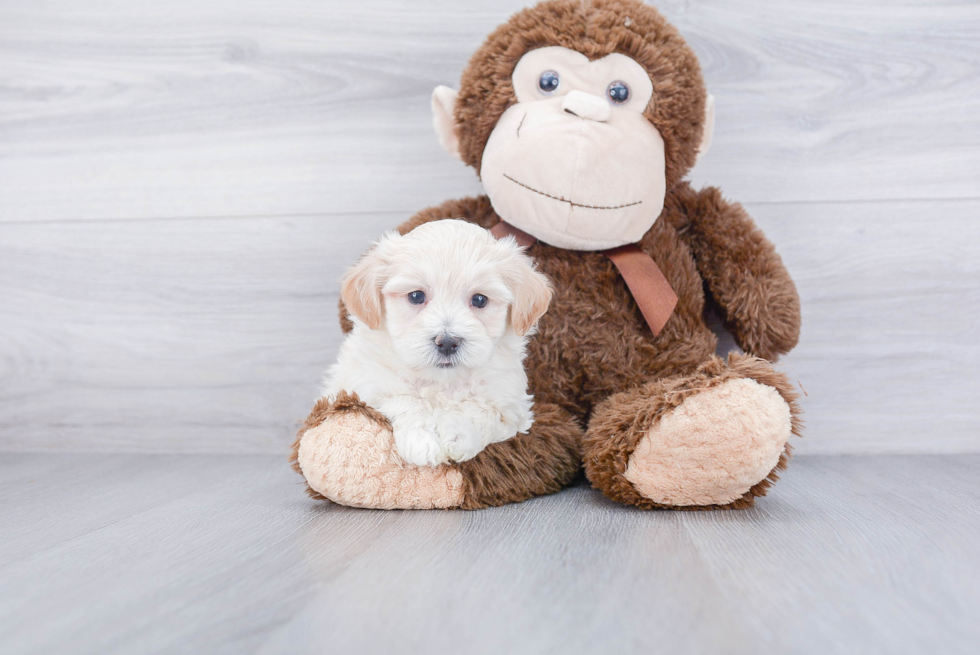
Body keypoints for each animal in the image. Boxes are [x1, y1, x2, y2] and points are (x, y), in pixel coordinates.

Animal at [322, 220, 552, 466]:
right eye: (416, 296)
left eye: (480, 299)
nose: (448, 342)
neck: (441, 382)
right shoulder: (366, 388)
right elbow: (403, 400)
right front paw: (422, 439)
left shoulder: (511, 407)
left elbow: (482, 411)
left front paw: (458, 432)